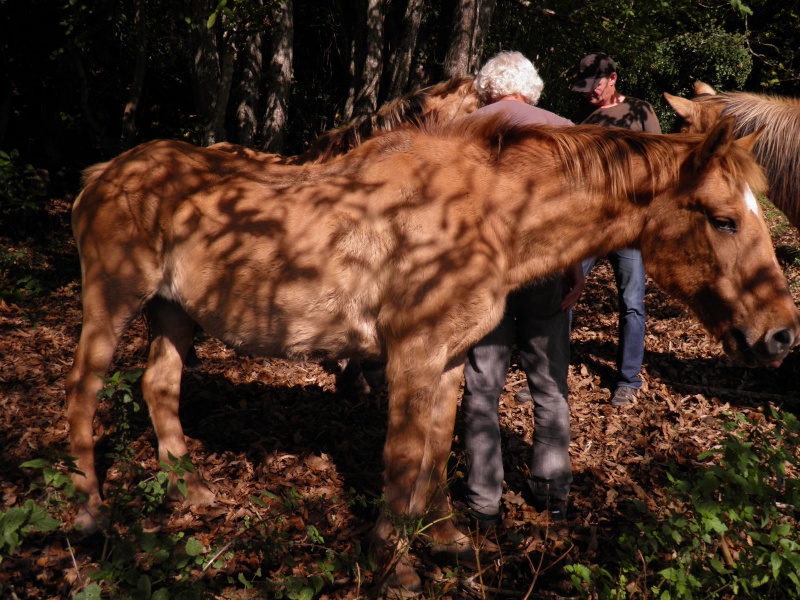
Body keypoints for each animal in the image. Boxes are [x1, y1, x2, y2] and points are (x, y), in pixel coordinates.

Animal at [65, 115, 796, 592]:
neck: (490, 217)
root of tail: (105, 172)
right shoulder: (411, 355)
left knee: (159, 384)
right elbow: (402, 455)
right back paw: (89, 513)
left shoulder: (446, 360)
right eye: (724, 219)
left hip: (173, 312)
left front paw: (444, 537)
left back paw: (184, 484)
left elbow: (439, 448)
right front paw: (394, 563)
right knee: (82, 391)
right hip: (112, 299)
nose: (783, 334)